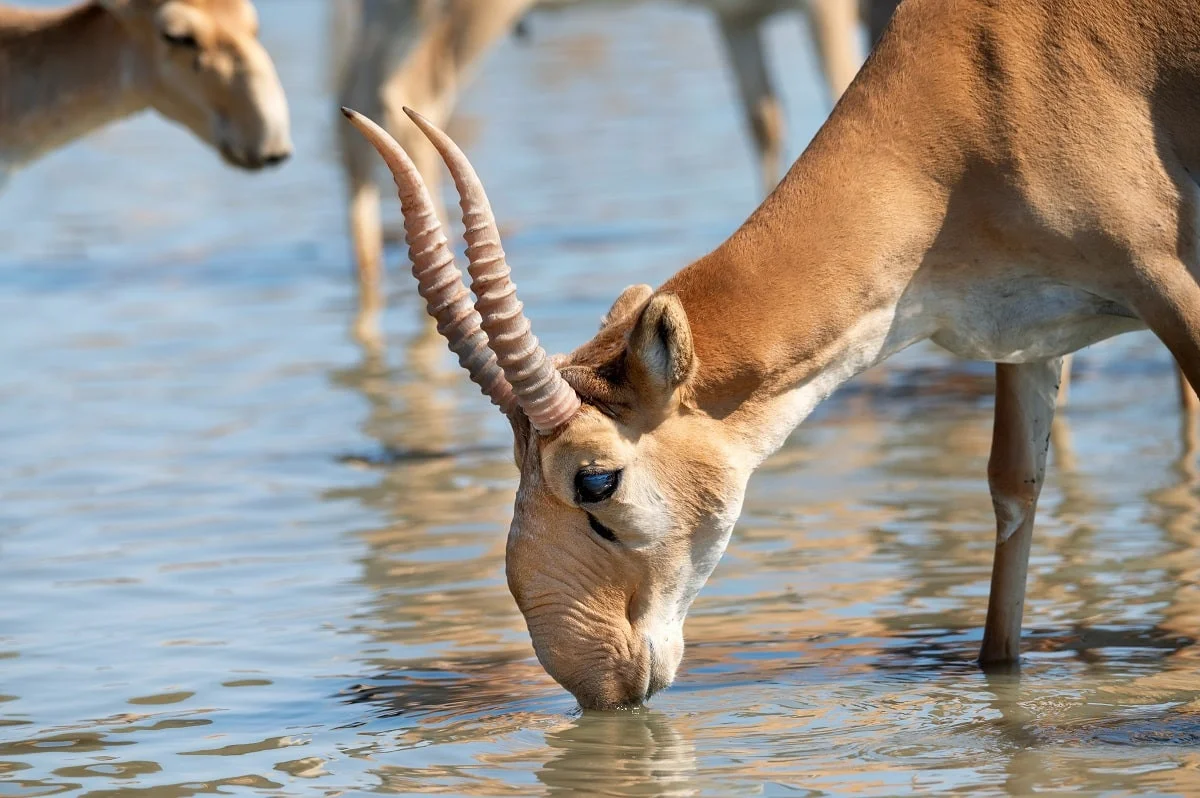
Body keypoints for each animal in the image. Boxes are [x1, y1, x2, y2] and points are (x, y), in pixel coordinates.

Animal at [343, 0, 1200, 710]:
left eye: (594, 478)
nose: (590, 676)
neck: (978, 84)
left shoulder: (1165, 286)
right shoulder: (1027, 335)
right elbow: (1014, 497)